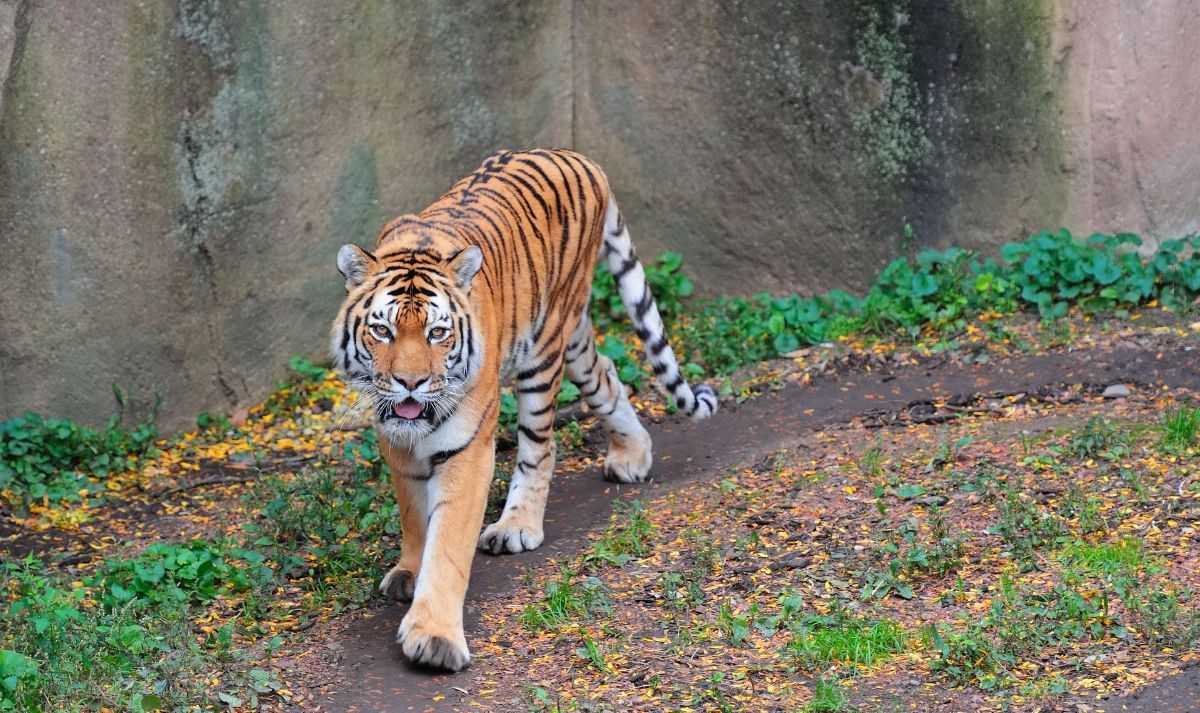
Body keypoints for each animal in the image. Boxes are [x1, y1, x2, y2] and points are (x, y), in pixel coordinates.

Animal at [330, 148, 718, 671]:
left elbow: (448, 542)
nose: (410, 383)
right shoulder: (396, 439)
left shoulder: (468, 448)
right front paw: (409, 571)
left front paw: (434, 638)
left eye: (437, 332)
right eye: (382, 330)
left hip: (546, 345)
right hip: (575, 341)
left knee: (540, 448)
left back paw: (517, 527)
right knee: (607, 373)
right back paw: (632, 456)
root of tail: (580, 157)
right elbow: (413, 513)